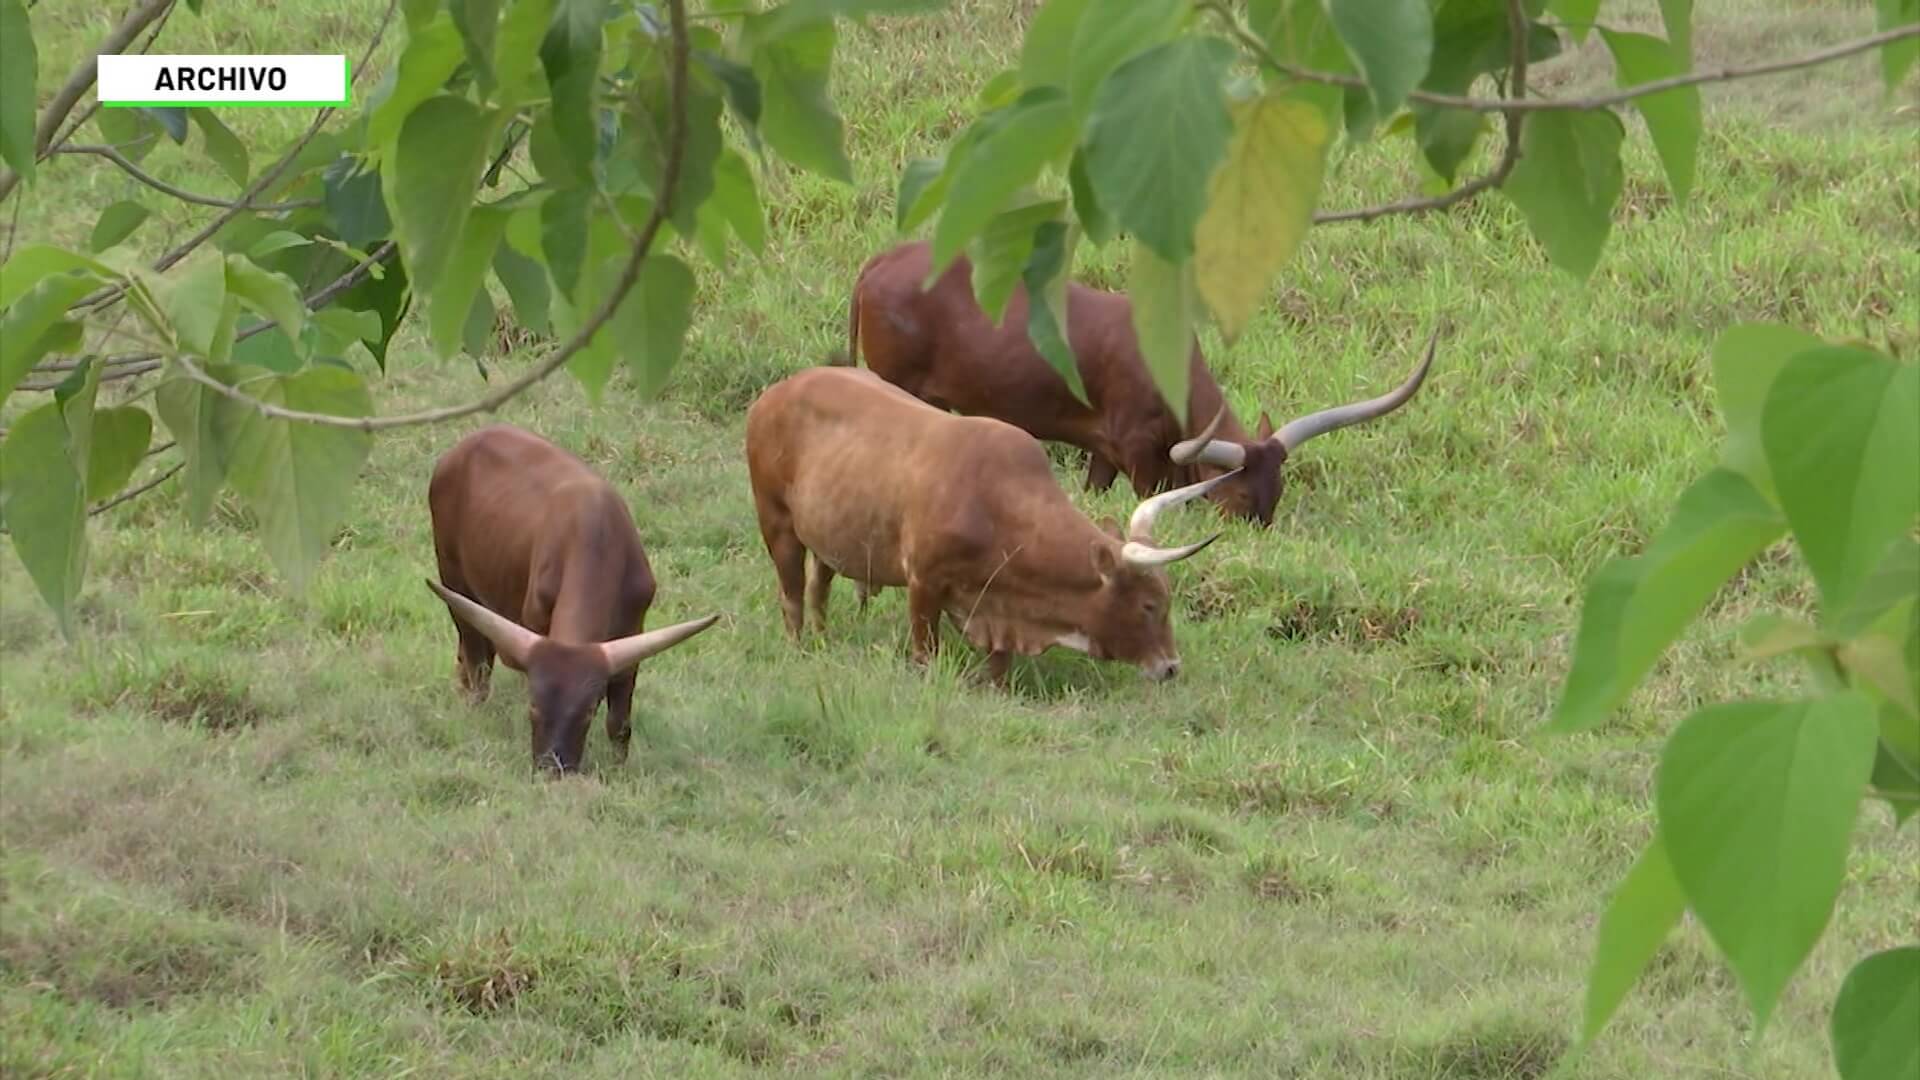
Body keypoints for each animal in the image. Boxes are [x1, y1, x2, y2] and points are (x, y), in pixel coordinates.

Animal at [424, 422, 718, 772]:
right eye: (533, 707)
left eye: (588, 712)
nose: (552, 769)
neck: (597, 539)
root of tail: (468, 443)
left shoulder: (633, 635)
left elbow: (619, 722)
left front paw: (618, 768)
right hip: (453, 578)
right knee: (476, 657)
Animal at [741, 365, 1236, 676]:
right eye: (1149, 606)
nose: (1170, 668)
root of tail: (776, 393)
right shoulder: (923, 584)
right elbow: (925, 650)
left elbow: (999, 664)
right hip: (777, 523)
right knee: (792, 596)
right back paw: (800, 647)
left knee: (818, 586)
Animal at [848, 243, 1436, 526]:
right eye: (1238, 496)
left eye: (1278, 493)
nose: (1257, 534)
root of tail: (882, 261)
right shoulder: (1139, 455)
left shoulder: (1103, 452)